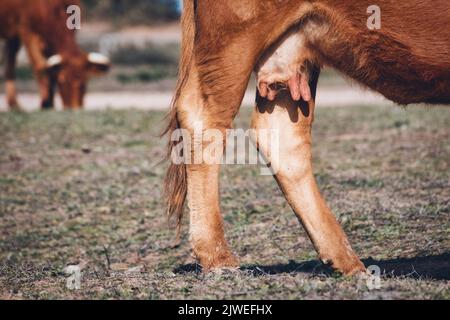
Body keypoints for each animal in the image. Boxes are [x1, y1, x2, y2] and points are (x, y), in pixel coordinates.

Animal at [163, 0, 448, 276]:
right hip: (235, 34)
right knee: (204, 118)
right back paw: (219, 258)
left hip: (290, 54)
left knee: (280, 136)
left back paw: (346, 262)